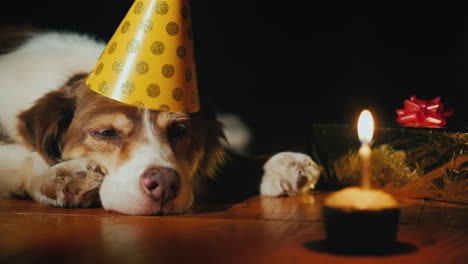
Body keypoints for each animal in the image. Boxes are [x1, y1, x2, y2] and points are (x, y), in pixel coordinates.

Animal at [0, 28, 322, 214]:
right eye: (105, 132)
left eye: (179, 130)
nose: (165, 183)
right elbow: (21, 156)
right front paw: (64, 175)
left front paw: (282, 165)